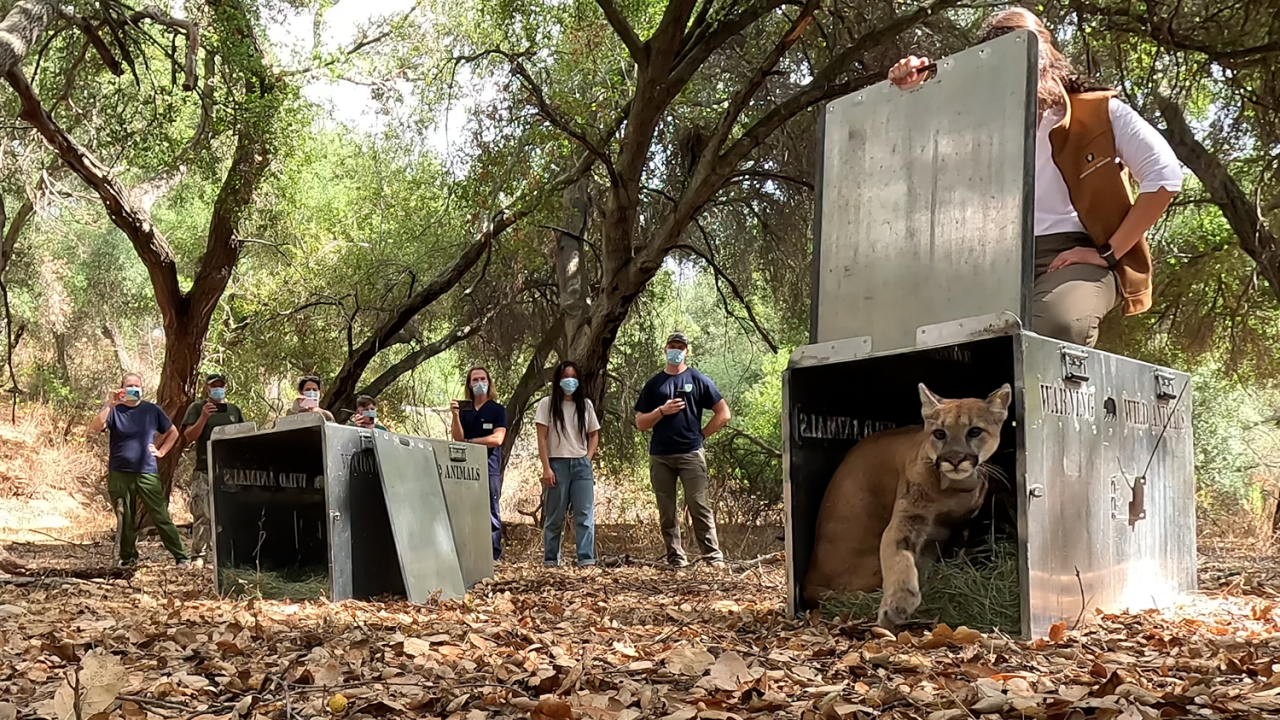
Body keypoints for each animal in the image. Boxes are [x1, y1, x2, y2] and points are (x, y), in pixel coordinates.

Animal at [803, 382, 1012, 629]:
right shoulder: (909, 517)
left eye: (974, 431)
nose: (954, 459)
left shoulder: (962, 524)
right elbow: (899, 556)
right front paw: (896, 605)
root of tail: (808, 581)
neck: (955, 490)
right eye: (940, 433)